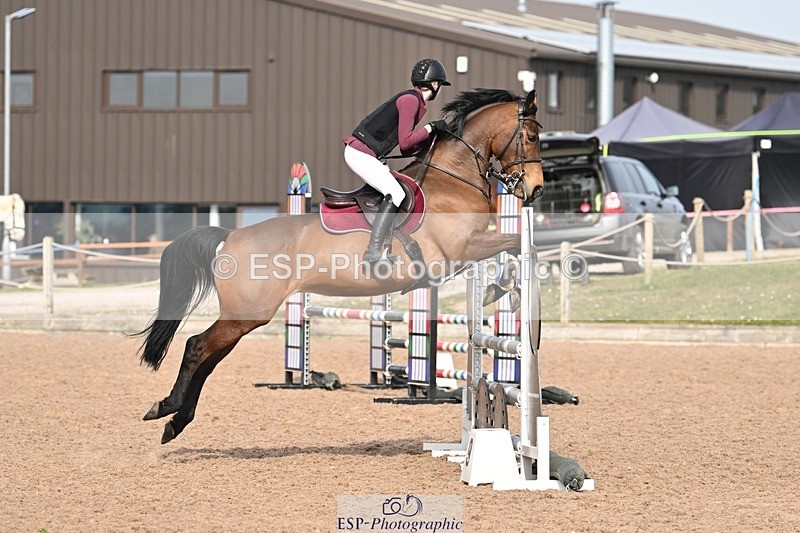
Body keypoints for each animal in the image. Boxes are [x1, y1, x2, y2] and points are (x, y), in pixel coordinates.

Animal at [136, 88, 545, 444]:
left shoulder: (465, 251)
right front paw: (502, 289)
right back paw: (167, 409)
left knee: (208, 357)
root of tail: (231, 236)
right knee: (197, 347)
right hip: (247, 313)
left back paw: (175, 420)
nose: (536, 190)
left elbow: (515, 250)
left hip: (244, 316)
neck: (453, 178)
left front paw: (501, 289)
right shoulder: (462, 248)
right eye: (530, 136)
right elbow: (517, 246)